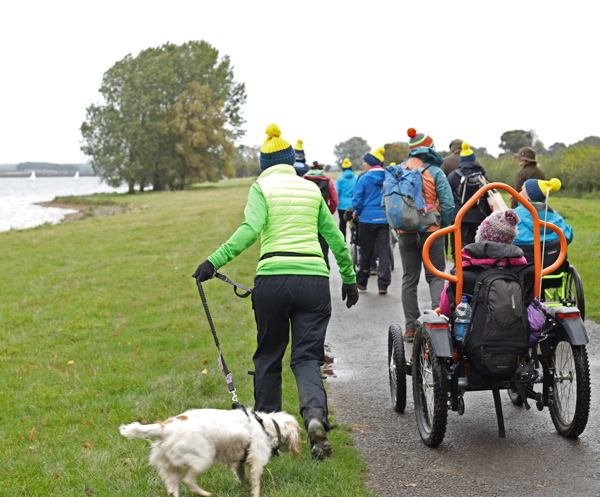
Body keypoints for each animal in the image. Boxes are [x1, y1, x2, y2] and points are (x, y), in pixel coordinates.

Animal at [119, 406, 300, 496]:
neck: (264, 425)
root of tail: (164, 428)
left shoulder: (239, 462)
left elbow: (241, 475)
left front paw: (243, 486)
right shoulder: (257, 461)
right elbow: (256, 484)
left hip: (170, 469)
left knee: (174, 490)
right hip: (203, 458)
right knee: (188, 480)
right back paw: (207, 494)